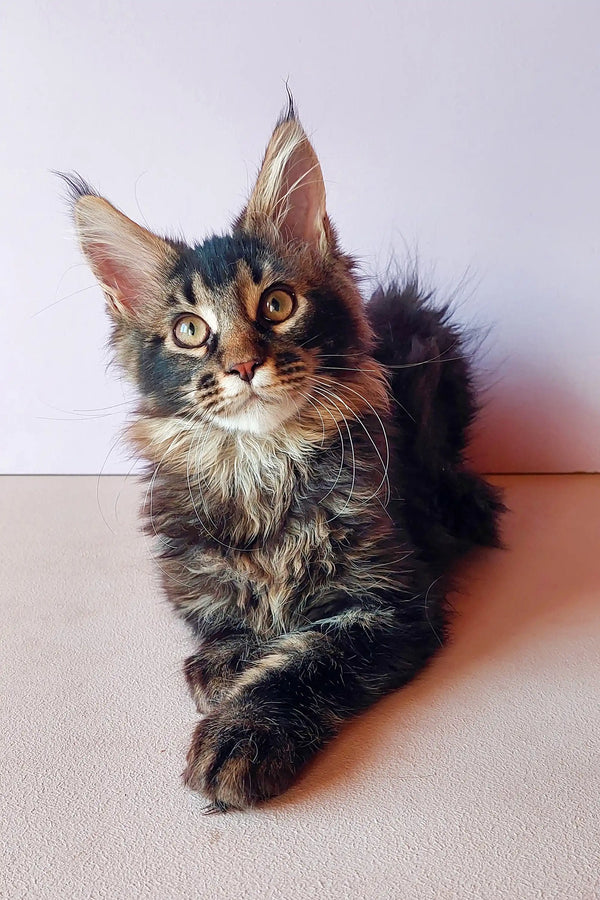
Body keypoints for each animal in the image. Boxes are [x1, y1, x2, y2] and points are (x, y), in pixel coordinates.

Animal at [65, 102, 504, 812]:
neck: (259, 463)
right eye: (190, 330)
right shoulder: (189, 574)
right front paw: (229, 658)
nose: (244, 365)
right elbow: (223, 619)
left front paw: (245, 732)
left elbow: (311, 658)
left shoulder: (393, 602)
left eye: (277, 303)